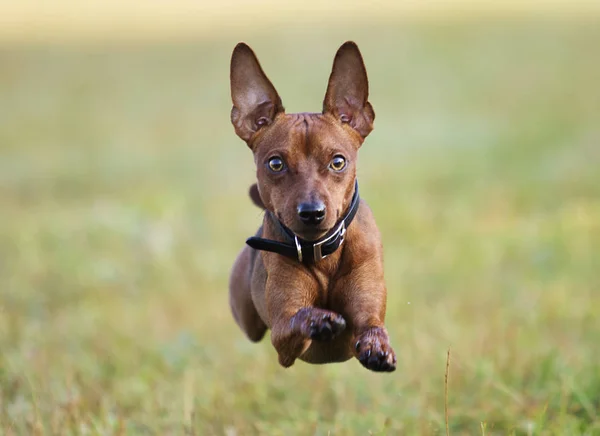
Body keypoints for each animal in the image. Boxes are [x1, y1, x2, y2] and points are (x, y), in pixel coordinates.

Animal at [227, 41, 396, 372]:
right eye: (275, 164)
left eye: (338, 161)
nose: (312, 212)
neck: (322, 252)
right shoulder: (282, 337)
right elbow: (299, 316)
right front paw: (320, 319)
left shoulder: (367, 308)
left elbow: (371, 325)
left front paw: (377, 346)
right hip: (246, 315)